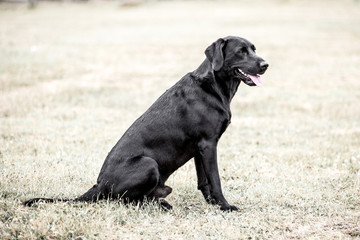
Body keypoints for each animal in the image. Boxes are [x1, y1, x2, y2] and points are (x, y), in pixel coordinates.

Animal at [24, 36, 268, 211]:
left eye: (254, 49)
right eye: (241, 51)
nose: (265, 64)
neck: (213, 85)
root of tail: (99, 185)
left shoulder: (201, 147)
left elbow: (204, 181)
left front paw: (213, 205)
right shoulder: (208, 144)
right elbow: (215, 180)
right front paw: (225, 206)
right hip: (148, 163)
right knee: (126, 201)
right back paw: (160, 205)